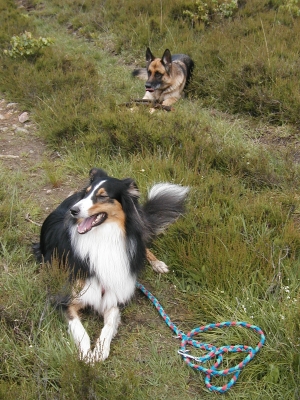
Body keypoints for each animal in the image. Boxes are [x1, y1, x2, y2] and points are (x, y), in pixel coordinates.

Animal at [32, 167, 188, 360]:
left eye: (103, 196)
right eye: (86, 193)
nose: (73, 210)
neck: (103, 237)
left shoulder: (114, 294)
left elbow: (109, 325)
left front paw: (100, 350)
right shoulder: (64, 298)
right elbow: (79, 329)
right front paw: (87, 353)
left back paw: (157, 263)